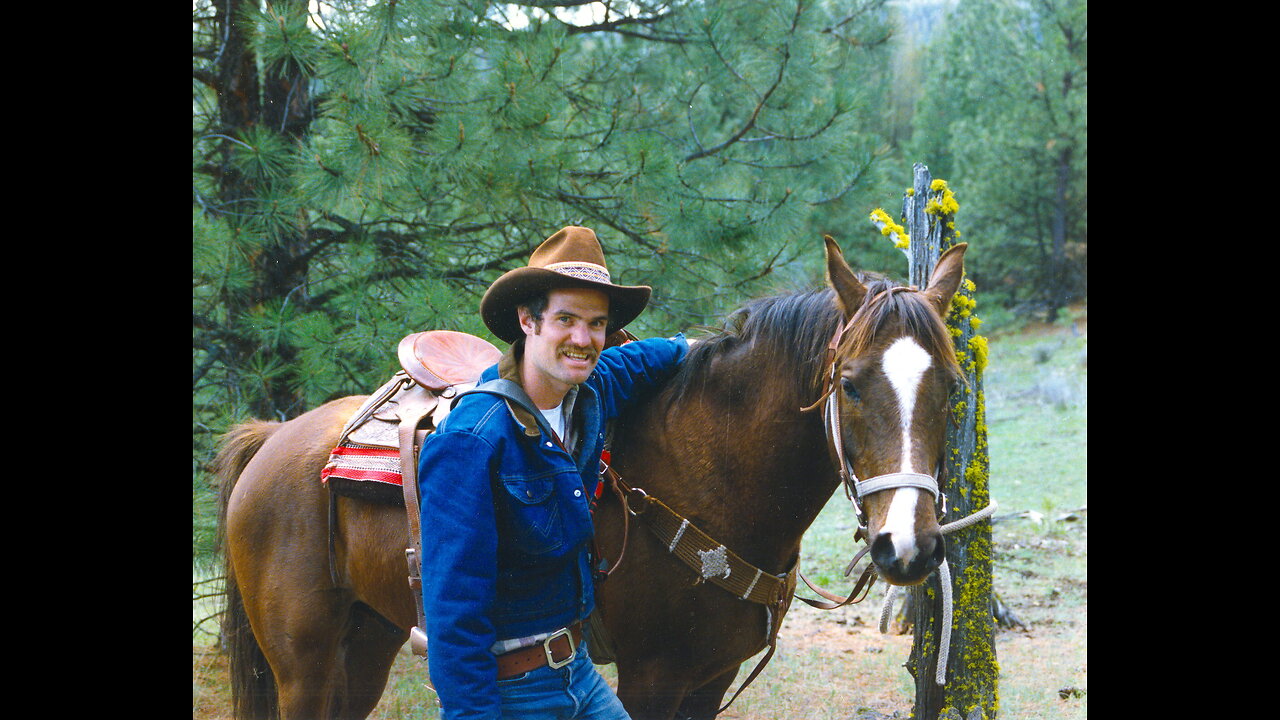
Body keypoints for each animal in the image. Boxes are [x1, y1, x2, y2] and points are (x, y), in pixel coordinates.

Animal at [215, 235, 962, 717]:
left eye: (952, 387)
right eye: (852, 385)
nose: (908, 546)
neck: (712, 477)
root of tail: (273, 438)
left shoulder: (710, 678)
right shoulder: (653, 675)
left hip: (368, 637)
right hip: (303, 662)